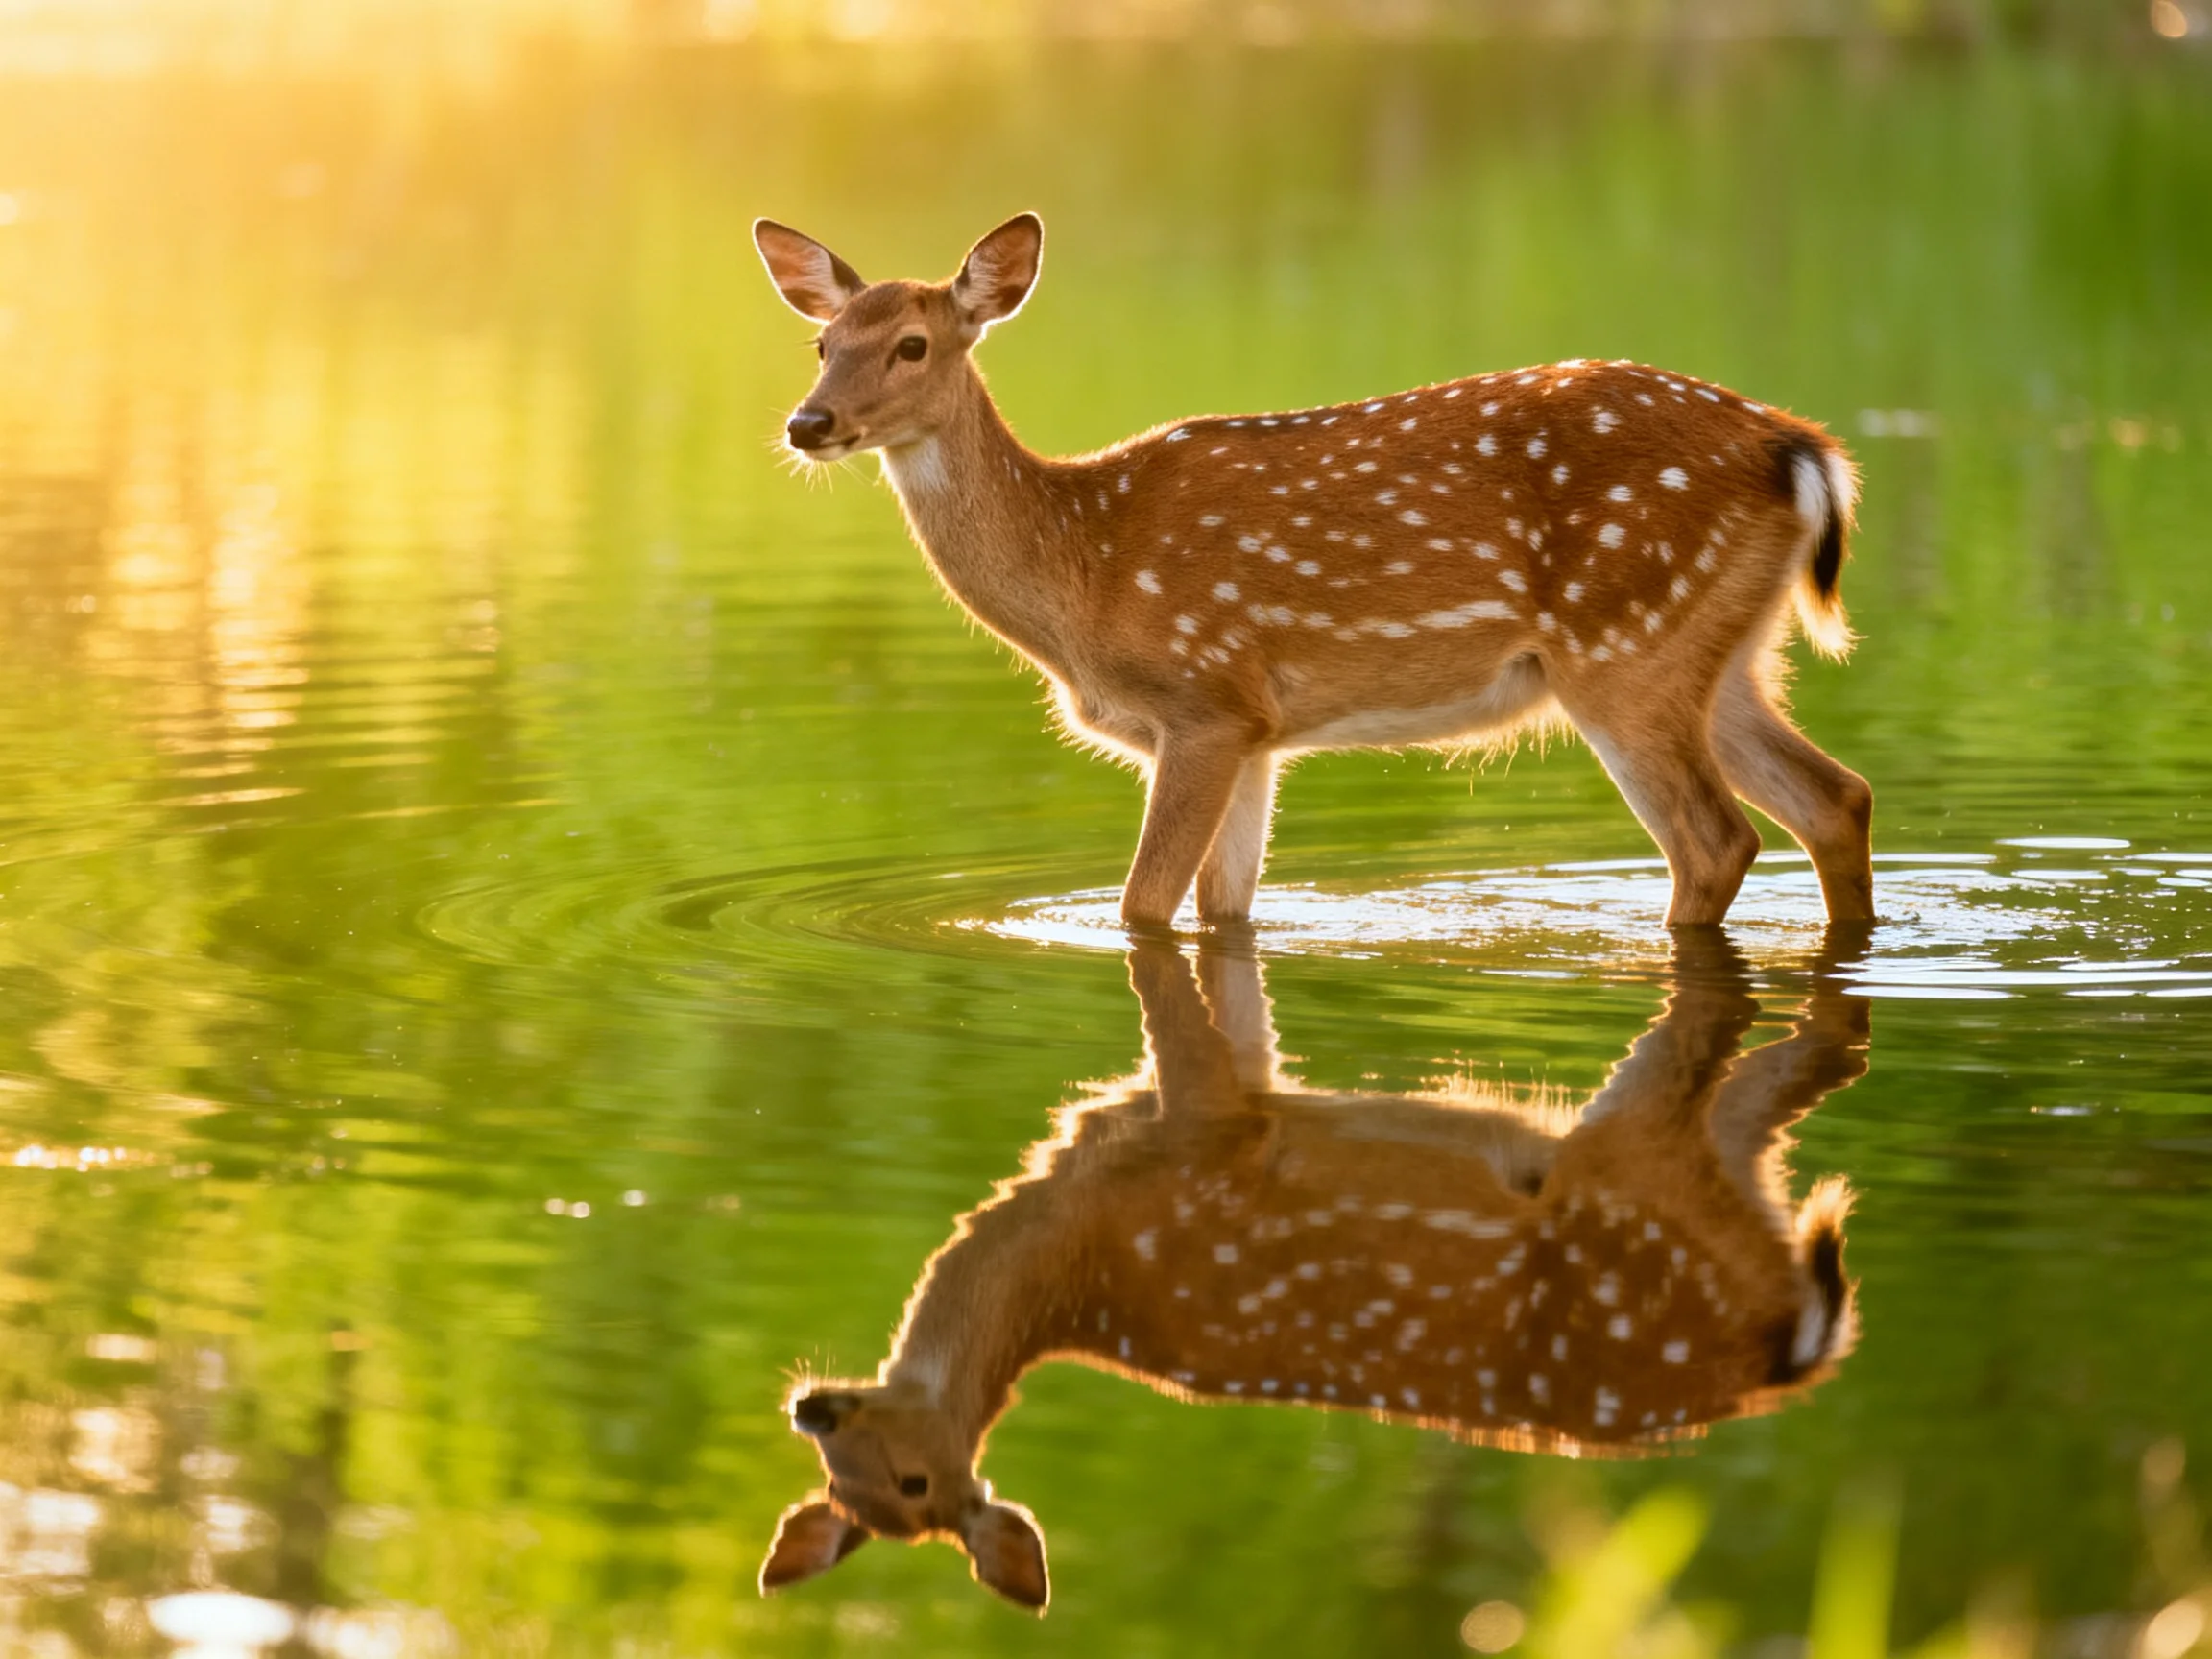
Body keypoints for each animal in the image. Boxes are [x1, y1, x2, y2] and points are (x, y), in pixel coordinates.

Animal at [754, 213, 1875, 931]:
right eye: (821, 342)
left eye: (912, 344)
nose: (808, 423)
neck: (1086, 568)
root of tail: (1798, 451)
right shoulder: (1257, 731)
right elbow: (1223, 910)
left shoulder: (1203, 699)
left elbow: (1142, 908)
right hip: (1721, 652)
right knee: (1836, 797)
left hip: (1623, 644)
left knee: (1717, 840)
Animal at [759, 933, 1870, 1610]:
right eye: (837, 1485)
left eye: (917, 1481)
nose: (814, 1408)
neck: (1069, 1253)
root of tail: (1786, 1352)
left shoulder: (1204, 1128)